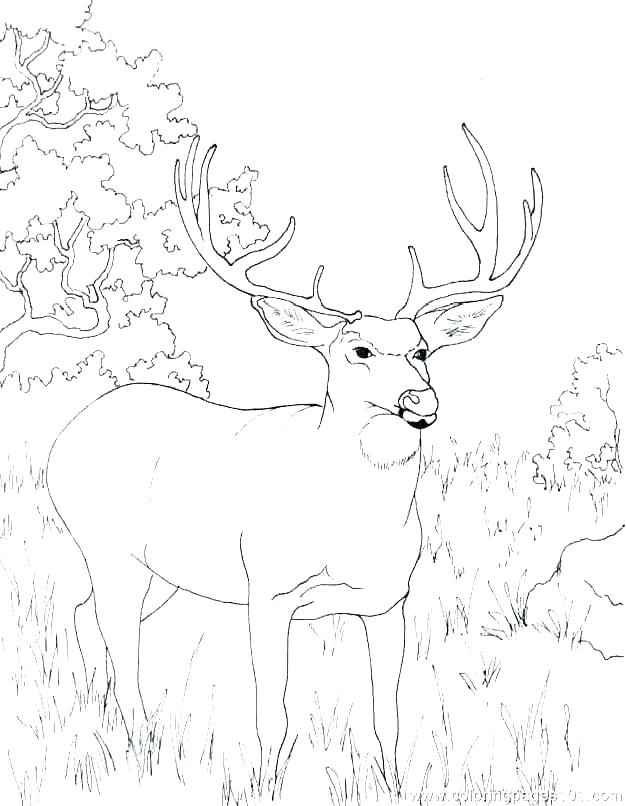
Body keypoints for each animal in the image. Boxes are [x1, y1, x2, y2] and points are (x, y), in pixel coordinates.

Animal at [46, 125, 542, 790]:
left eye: (421, 349)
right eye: (358, 350)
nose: (422, 401)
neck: (348, 527)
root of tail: (66, 433)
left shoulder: (390, 601)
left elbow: (387, 715)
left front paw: (391, 785)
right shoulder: (269, 592)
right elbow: (273, 717)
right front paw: (263, 786)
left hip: (164, 572)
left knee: (85, 616)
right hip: (108, 547)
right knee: (120, 644)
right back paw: (135, 747)